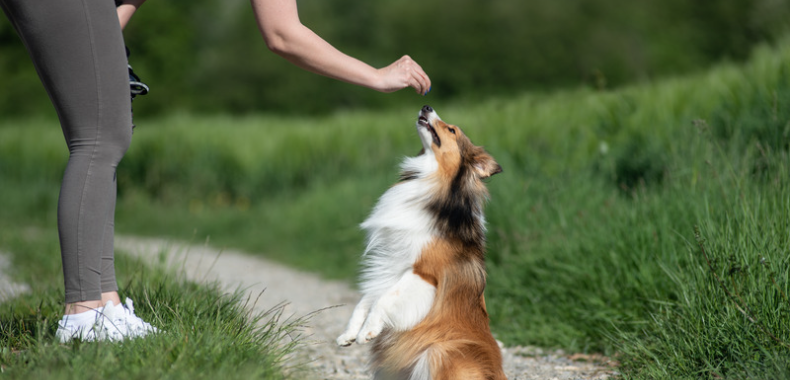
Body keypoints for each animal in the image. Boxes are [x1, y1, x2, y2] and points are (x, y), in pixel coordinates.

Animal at [338, 104, 504, 380]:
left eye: (452, 130)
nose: (426, 106)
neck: (431, 178)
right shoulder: (391, 261)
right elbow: (367, 298)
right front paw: (349, 333)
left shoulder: (425, 273)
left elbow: (385, 298)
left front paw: (367, 332)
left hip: (439, 350)